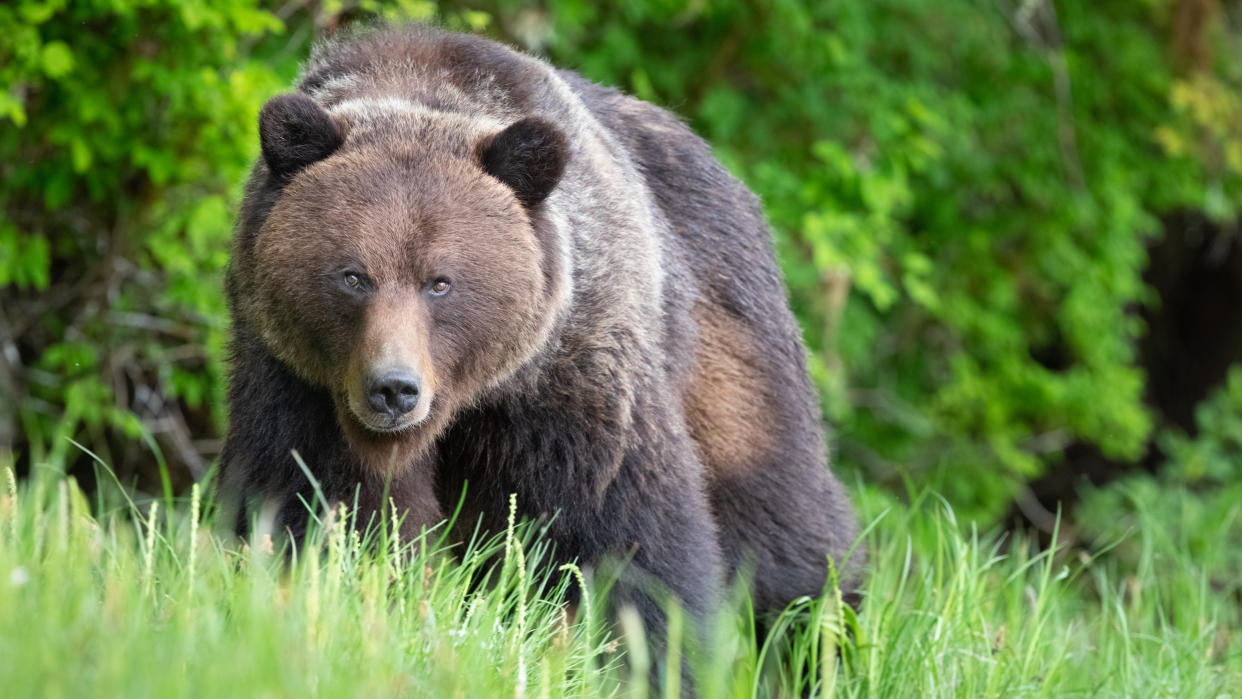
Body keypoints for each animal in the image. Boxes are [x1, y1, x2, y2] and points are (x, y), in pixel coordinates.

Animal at [221, 25, 864, 650]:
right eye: (353, 275)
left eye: (440, 282)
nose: (394, 389)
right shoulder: (297, 381)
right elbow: (321, 506)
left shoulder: (573, 373)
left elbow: (627, 534)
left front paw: (652, 650)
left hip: (728, 339)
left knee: (781, 522)